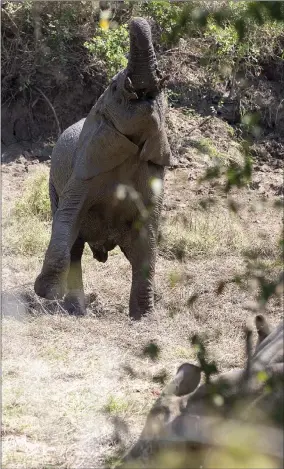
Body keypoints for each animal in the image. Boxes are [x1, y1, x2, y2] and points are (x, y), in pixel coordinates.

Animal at [32, 17, 171, 318]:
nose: (133, 18)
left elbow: (148, 238)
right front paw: (45, 292)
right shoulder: (85, 167)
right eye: (116, 88)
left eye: (162, 88)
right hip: (52, 186)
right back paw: (74, 309)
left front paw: (143, 318)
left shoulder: (152, 173)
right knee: (74, 246)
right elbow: (67, 219)